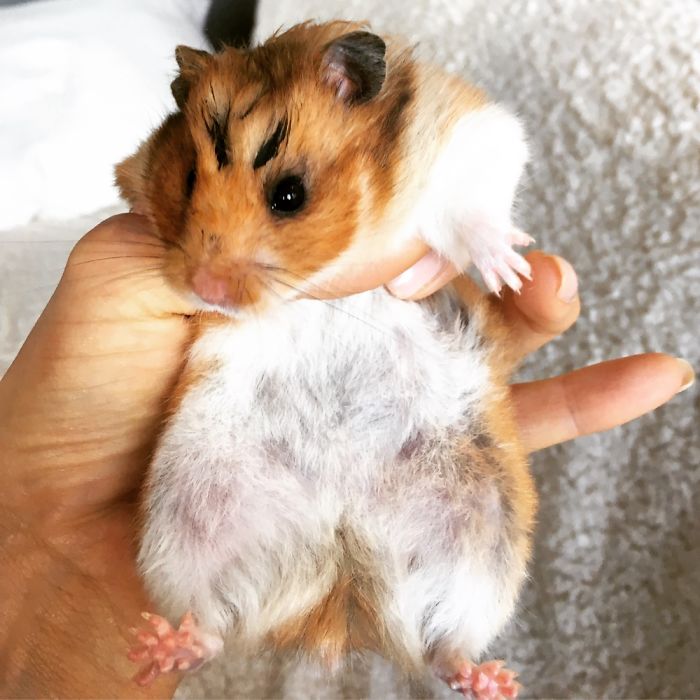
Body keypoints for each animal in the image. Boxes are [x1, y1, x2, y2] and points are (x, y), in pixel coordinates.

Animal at [116, 21, 536, 699]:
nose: (205, 289)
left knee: (443, 647)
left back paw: (492, 680)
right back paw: (161, 647)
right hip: (186, 520)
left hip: (484, 542)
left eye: (290, 194)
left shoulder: (473, 133)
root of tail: (340, 591)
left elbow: (472, 210)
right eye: (185, 183)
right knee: (215, 623)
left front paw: (507, 269)